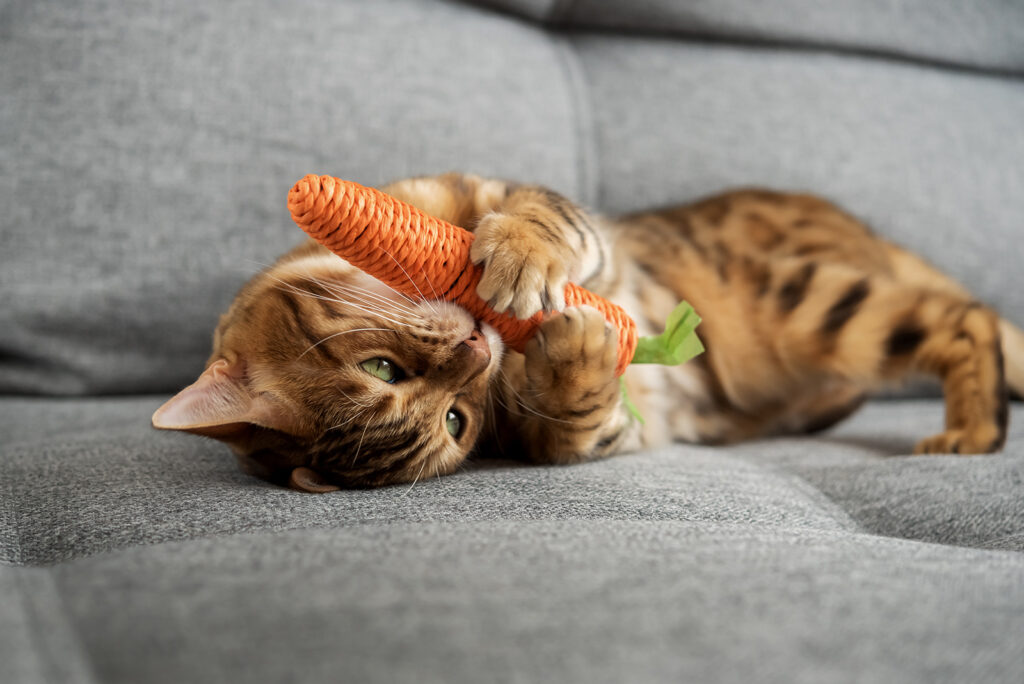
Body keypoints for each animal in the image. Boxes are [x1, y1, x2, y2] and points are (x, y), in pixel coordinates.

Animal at [151, 174, 1024, 489]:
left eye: (381, 369)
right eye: (457, 423)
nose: (477, 351)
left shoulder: (548, 217)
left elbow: (539, 219)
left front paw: (516, 256)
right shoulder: (606, 429)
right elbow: (574, 421)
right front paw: (574, 355)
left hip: (803, 301)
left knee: (970, 315)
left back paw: (972, 429)